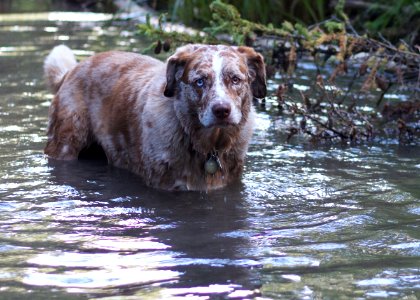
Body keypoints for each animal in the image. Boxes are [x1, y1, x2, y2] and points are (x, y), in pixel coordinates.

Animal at [42, 43, 266, 191]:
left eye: (235, 79)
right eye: (200, 81)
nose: (221, 110)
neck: (208, 146)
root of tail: (71, 70)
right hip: (67, 140)